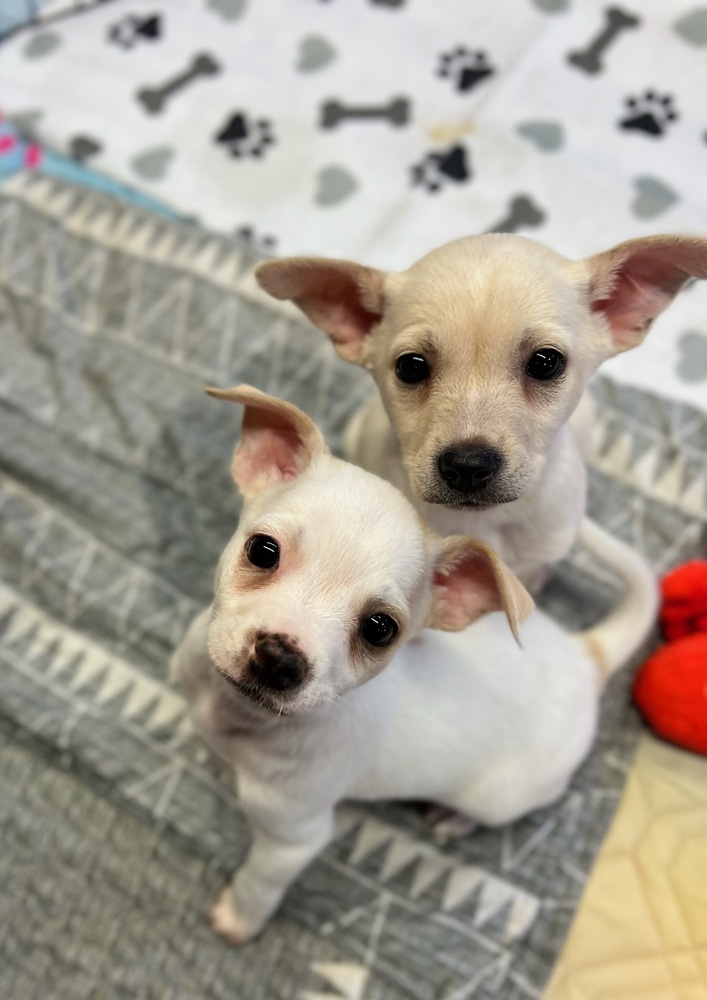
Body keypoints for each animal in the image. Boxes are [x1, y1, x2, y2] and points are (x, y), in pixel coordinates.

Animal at [171, 382, 660, 944]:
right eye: (262, 551)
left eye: (380, 629)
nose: (279, 658)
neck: (236, 716)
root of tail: (587, 655)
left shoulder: (292, 839)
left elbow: (257, 885)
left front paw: (236, 920)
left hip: (500, 794)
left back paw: (453, 818)